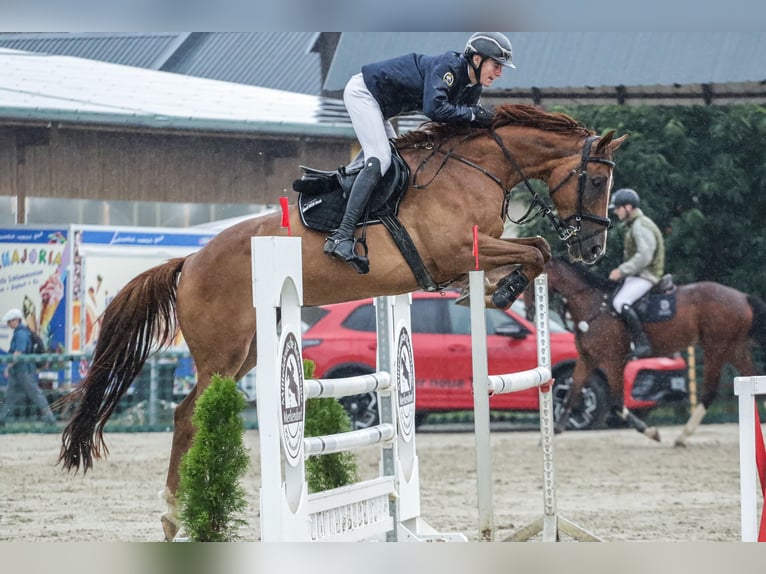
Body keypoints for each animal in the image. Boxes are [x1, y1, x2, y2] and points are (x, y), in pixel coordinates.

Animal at [57, 103, 628, 540]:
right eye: (598, 180)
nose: (594, 248)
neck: (476, 167)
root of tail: (190, 260)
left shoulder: (475, 249)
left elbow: (537, 249)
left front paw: (494, 290)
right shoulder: (457, 251)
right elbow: (536, 249)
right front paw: (499, 290)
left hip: (250, 351)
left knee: (192, 413)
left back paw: (184, 517)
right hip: (222, 353)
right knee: (187, 416)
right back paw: (179, 517)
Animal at [544, 258, 764, 448]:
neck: (593, 305)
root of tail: (742, 297)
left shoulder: (612, 361)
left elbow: (616, 403)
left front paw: (651, 432)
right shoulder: (586, 359)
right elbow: (571, 395)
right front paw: (552, 435)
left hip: (716, 349)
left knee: (710, 392)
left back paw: (682, 437)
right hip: (733, 348)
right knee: (753, 378)